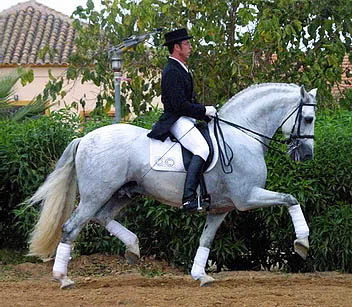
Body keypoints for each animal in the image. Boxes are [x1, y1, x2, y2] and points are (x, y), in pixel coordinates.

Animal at [27, 83, 318, 288]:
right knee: (72, 227)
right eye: (309, 119)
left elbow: (206, 239)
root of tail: (85, 138)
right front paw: (302, 243)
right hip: (95, 194)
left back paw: (133, 249)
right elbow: (290, 198)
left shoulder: (221, 208)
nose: (306, 155)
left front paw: (201, 275)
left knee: (102, 217)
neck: (241, 134)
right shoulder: (247, 197)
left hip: (123, 193)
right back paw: (63, 278)